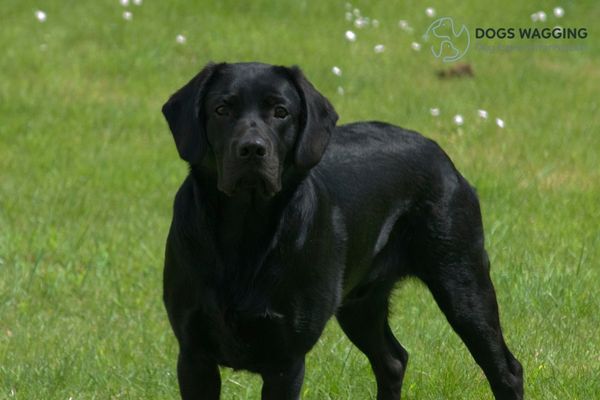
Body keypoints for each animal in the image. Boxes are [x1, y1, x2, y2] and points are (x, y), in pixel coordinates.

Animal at [162, 61, 524, 398]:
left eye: (281, 112)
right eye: (222, 109)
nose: (252, 148)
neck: (244, 233)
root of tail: (441, 154)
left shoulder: (286, 361)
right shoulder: (193, 355)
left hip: (463, 284)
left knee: (507, 370)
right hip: (360, 303)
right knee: (393, 361)